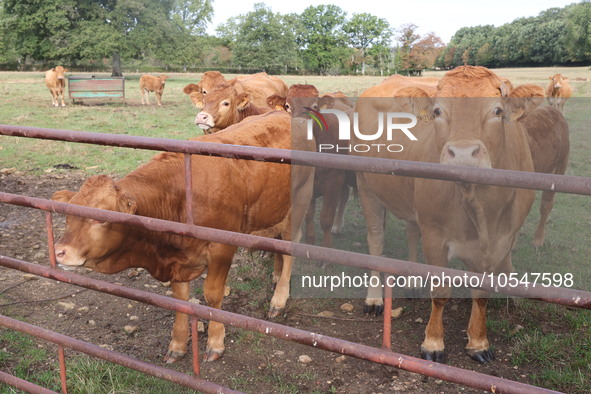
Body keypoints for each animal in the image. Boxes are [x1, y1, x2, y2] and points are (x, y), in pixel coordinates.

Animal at [53, 111, 316, 364]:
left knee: (290, 250)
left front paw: (215, 342)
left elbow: (212, 295)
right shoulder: (177, 261)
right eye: (67, 214)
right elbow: (180, 300)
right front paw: (177, 346)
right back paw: (275, 276)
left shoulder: (221, 248)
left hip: (299, 203)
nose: (60, 251)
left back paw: (278, 299)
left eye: (101, 217)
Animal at [354, 64, 540, 364]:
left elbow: (482, 293)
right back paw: (374, 299)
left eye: (497, 110)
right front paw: (433, 343)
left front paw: (479, 343)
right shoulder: (435, 236)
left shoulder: (501, 241)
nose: (462, 154)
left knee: (411, 230)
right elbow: (440, 292)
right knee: (375, 239)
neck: (480, 209)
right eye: (438, 111)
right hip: (365, 185)